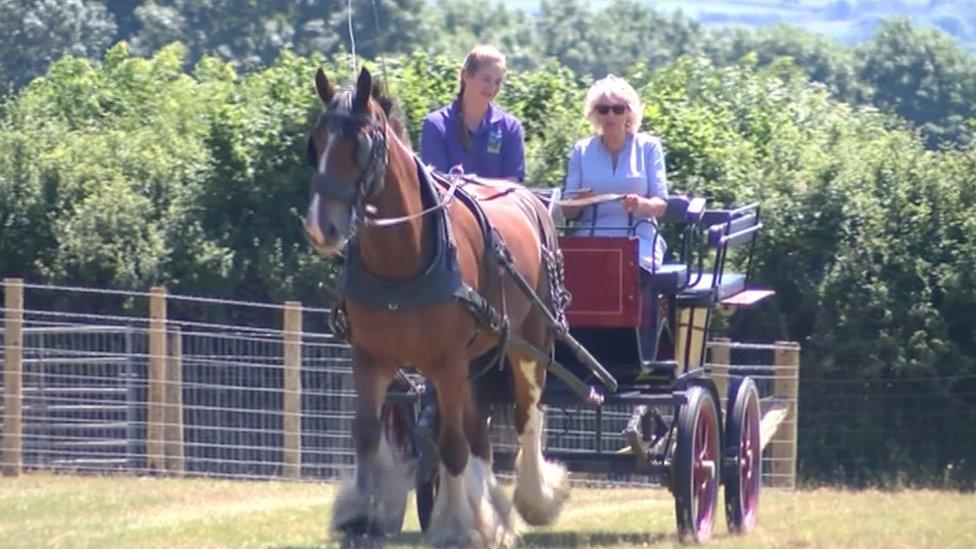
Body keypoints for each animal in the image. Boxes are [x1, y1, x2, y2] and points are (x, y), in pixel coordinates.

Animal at [304, 66, 564, 544]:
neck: (402, 260)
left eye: (360, 145)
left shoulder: (445, 362)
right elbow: (367, 434)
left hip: (530, 344)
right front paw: (362, 516)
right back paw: (492, 516)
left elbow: (452, 446)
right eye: (315, 143)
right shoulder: (370, 357)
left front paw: (457, 527)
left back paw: (535, 499)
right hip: (478, 358)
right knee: (478, 433)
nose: (320, 228)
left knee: (526, 418)